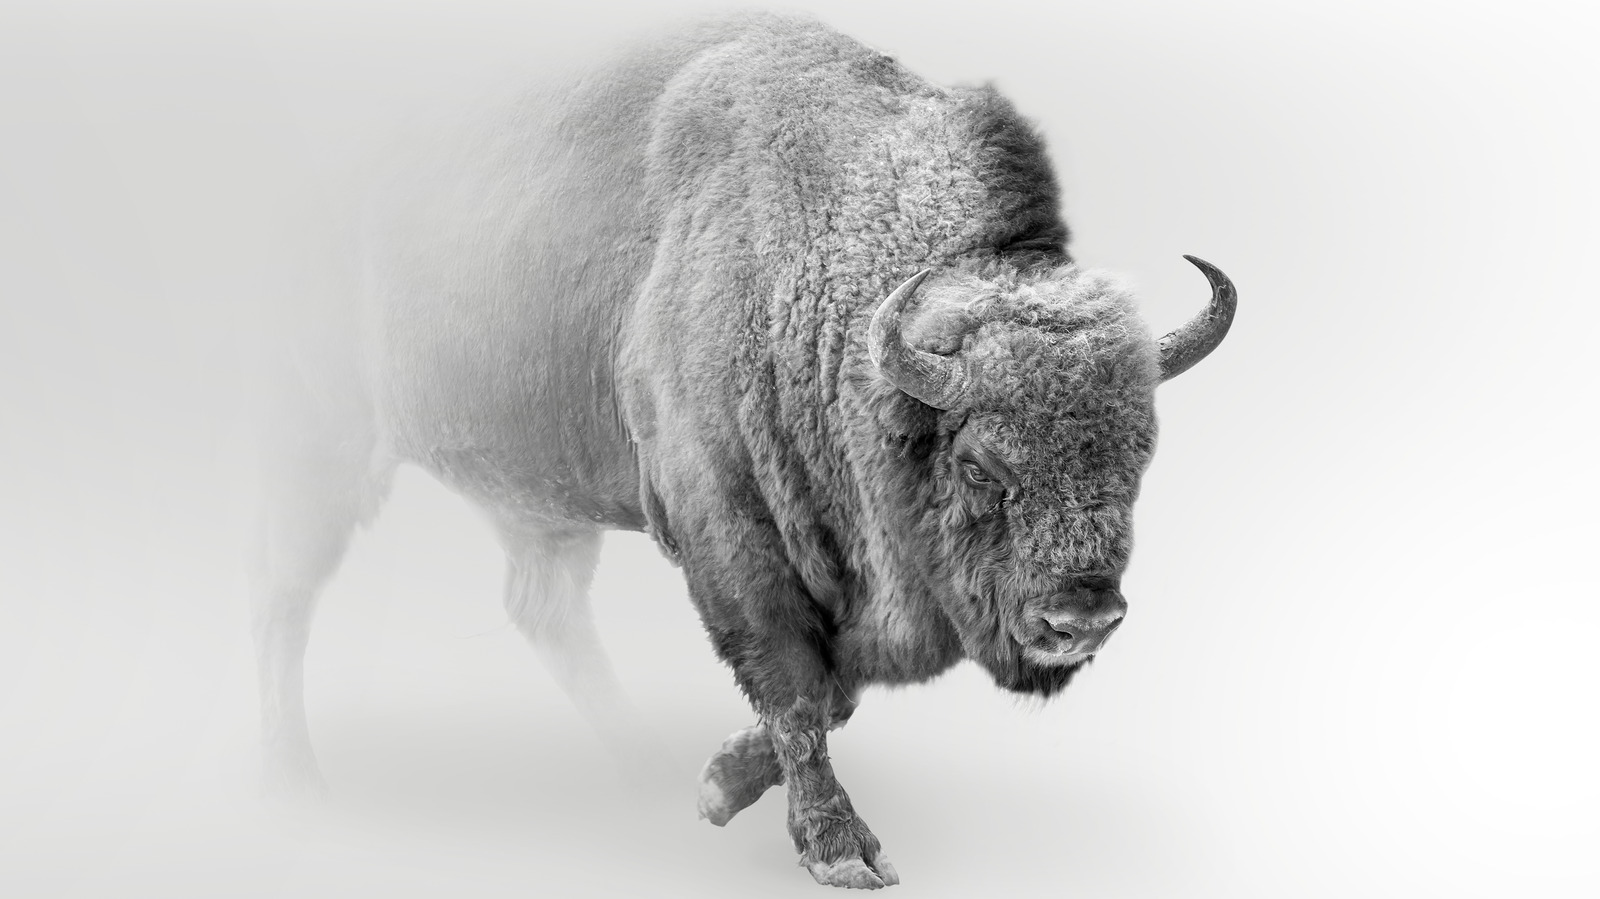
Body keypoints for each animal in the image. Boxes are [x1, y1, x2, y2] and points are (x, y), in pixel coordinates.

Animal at [252, 12, 1235, 889]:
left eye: (1139, 455)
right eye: (978, 464)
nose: (1083, 617)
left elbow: (835, 687)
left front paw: (716, 786)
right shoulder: (725, 528)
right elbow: (799, 684)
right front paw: (839, 849)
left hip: (534, 500)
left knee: (541, 608)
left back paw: (641, 765)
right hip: (323, 445)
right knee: (284, 595)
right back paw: (294, 782)